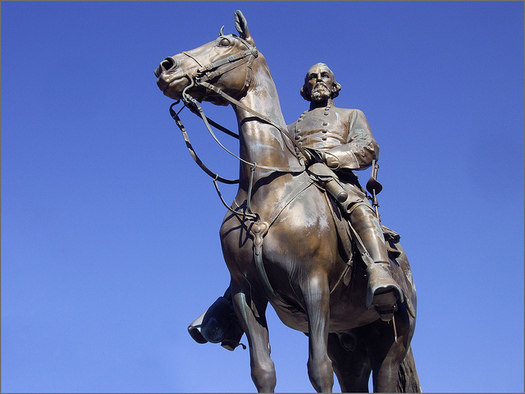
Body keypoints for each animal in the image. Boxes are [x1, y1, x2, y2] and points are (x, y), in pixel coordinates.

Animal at [154, 10, 420, 392]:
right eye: (313, 78)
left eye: (225, 42)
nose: (166, 66)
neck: (267, 187)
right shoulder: (246, 292)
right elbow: (263, 371)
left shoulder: (313, 286)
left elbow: (318, 370)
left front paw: (319, 156)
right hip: (349, 343)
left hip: (390, 341)